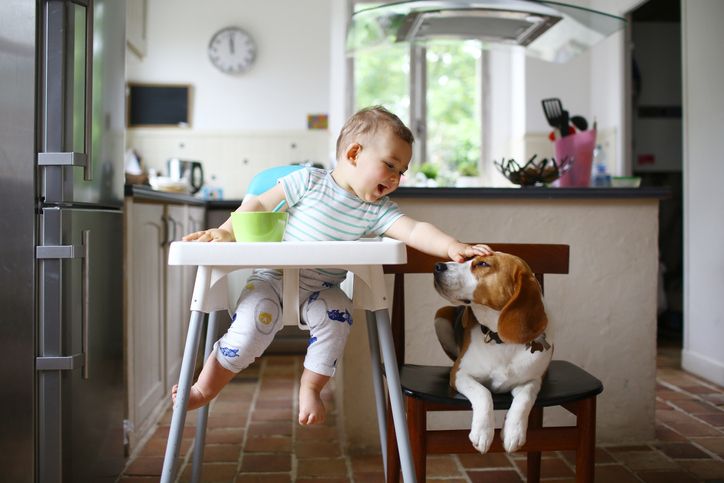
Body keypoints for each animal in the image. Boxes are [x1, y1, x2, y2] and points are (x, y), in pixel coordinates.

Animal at [432, 251, 552, 456]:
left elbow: (525, 399)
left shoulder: (533, 380)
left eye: (483, 264)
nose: (437, 266)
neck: (501, 341)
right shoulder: (460, 374)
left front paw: (514, 432)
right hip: (440, 317)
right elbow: (483, 392)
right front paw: (483, 431)